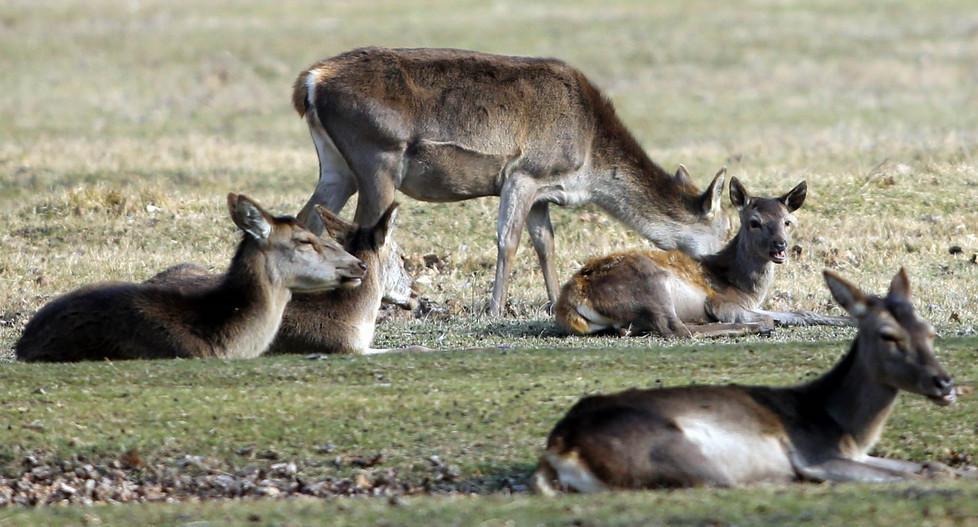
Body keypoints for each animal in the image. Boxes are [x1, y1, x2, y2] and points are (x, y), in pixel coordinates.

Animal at [291, 47, 729, 316]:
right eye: (726, 228)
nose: (721, 272)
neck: (589, 163)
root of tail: (310, 82)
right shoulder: (524, 172)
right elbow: (509, 239)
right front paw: (496, 307)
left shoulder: (543, 192)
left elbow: (545, 243)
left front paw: (553, 301)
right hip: (377, 158)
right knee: (361, 228)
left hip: (338, 166)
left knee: (306, 217)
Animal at [533, 268, 961, 493]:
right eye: (889, 335)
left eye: (929, 331)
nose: (945, 384)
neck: (844, 428)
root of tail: (559, 448)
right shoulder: (815, 457)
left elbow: (931, 467)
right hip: (693, 459)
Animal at [555, 177, 851, 338]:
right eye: (754, 222)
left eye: (787, 221)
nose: (780, 246)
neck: (744, 287)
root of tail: (569, 301)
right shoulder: (721, 301)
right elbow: (768, 316)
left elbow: (800, 312)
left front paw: (848, 319)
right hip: (650, 283)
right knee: (676, 328)